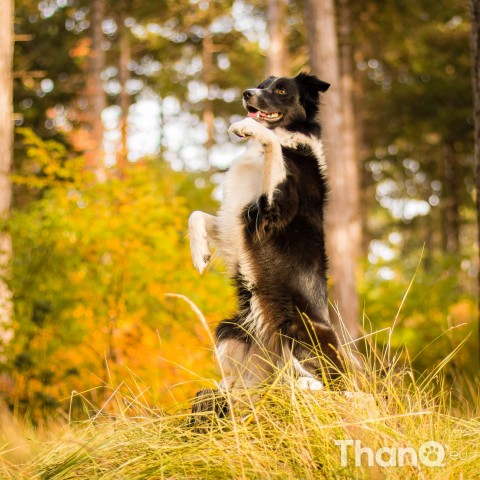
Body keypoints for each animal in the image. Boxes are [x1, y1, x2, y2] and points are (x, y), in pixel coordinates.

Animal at [188, 73, 344, 392]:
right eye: (261, 85)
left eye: (281, 90)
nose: (247, 93)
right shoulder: (235, 224)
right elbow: (196, 215)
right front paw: (200, 253)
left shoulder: (272, 211)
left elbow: (273, 146)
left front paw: (249, 128)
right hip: (232, 327)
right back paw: (231, 385)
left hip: (298, 328)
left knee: (326, 380)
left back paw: (306, 384)